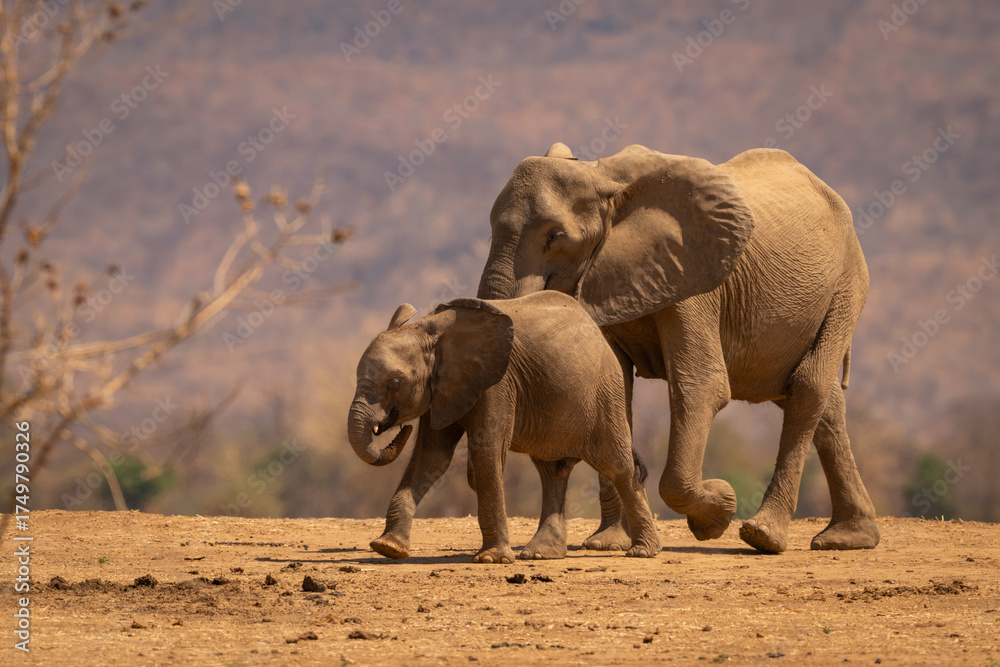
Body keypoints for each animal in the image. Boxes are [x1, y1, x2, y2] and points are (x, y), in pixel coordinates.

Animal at [347, 291, 661, 563]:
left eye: (394, 384)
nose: (396, 427)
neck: (429, 329)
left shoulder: (497, 382)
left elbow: (487, 451)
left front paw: (491, 559)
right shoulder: (443, 388)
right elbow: (431, 457)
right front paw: (388, 548)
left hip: (606, 392)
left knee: (617, 466)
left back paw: (643, 552)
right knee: (552, 472)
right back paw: (540, 554)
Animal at [467, 143, 881, 554]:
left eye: (555, 237)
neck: (602, 178)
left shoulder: (693, 276)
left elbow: (702, 385)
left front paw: (717, 513)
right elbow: (613, 386)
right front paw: (608, 544)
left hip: (847, 283)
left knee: (808, 386)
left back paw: (764, 535)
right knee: (816, 398)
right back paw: (849, 537)